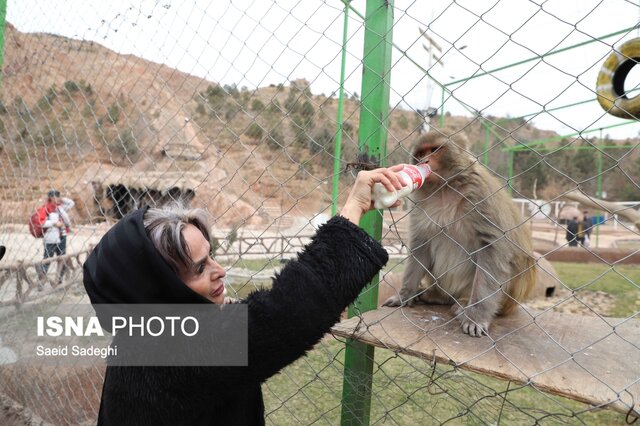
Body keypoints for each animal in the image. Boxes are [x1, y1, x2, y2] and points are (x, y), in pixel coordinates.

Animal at [382, 126, 536, 336]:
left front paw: (476, 317)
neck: (445, 188)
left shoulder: (480, 196)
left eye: (435, 150)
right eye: (420, 154)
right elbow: (421, 245)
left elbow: (493, 250)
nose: (423, 162)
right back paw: (437, 296)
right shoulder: (419, 203)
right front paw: (404, 295)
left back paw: (463, 305)